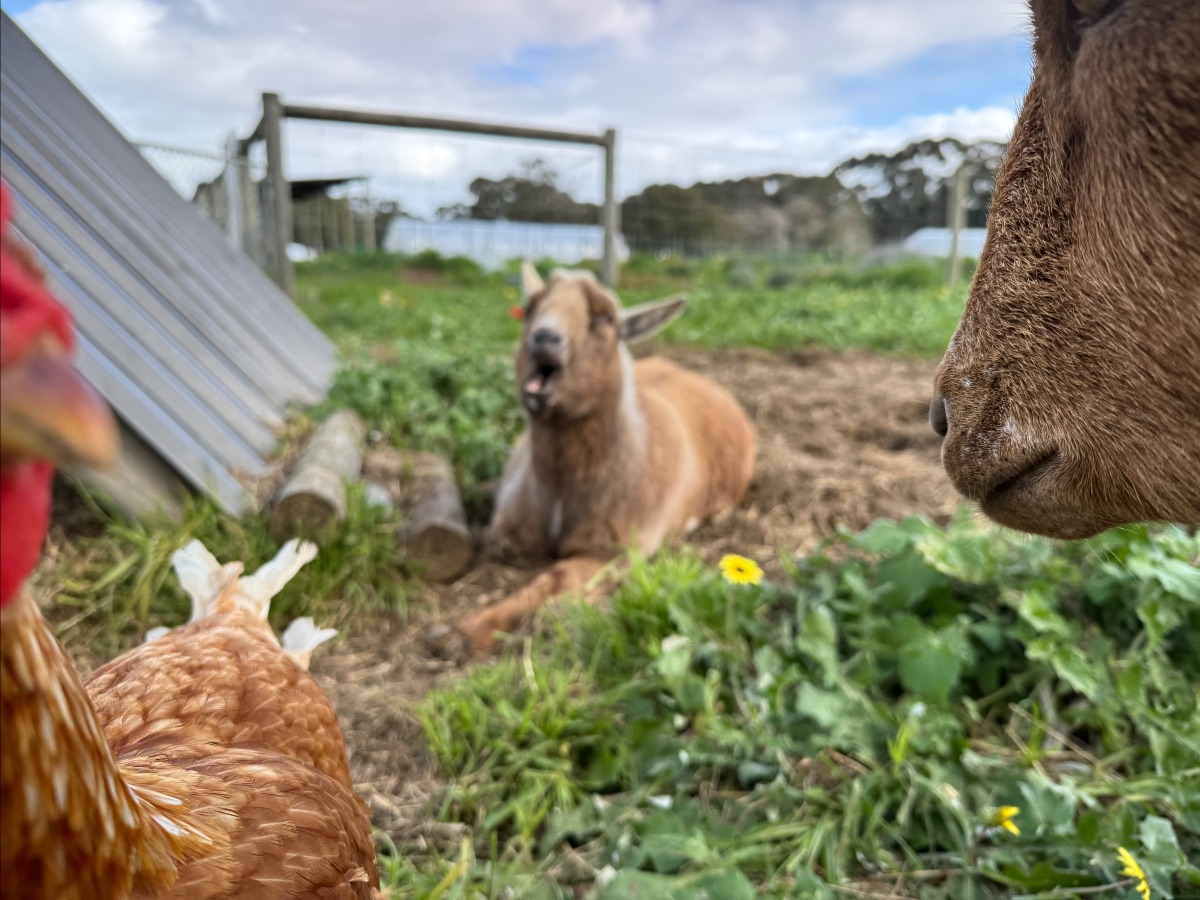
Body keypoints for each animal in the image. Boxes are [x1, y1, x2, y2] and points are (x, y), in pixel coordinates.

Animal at [431, 264, 755, 657]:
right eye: (531, 307)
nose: (544, 338)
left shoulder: (616, 552)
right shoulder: (509, 529)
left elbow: (553, 579)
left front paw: (470, 630)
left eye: (605, 318)